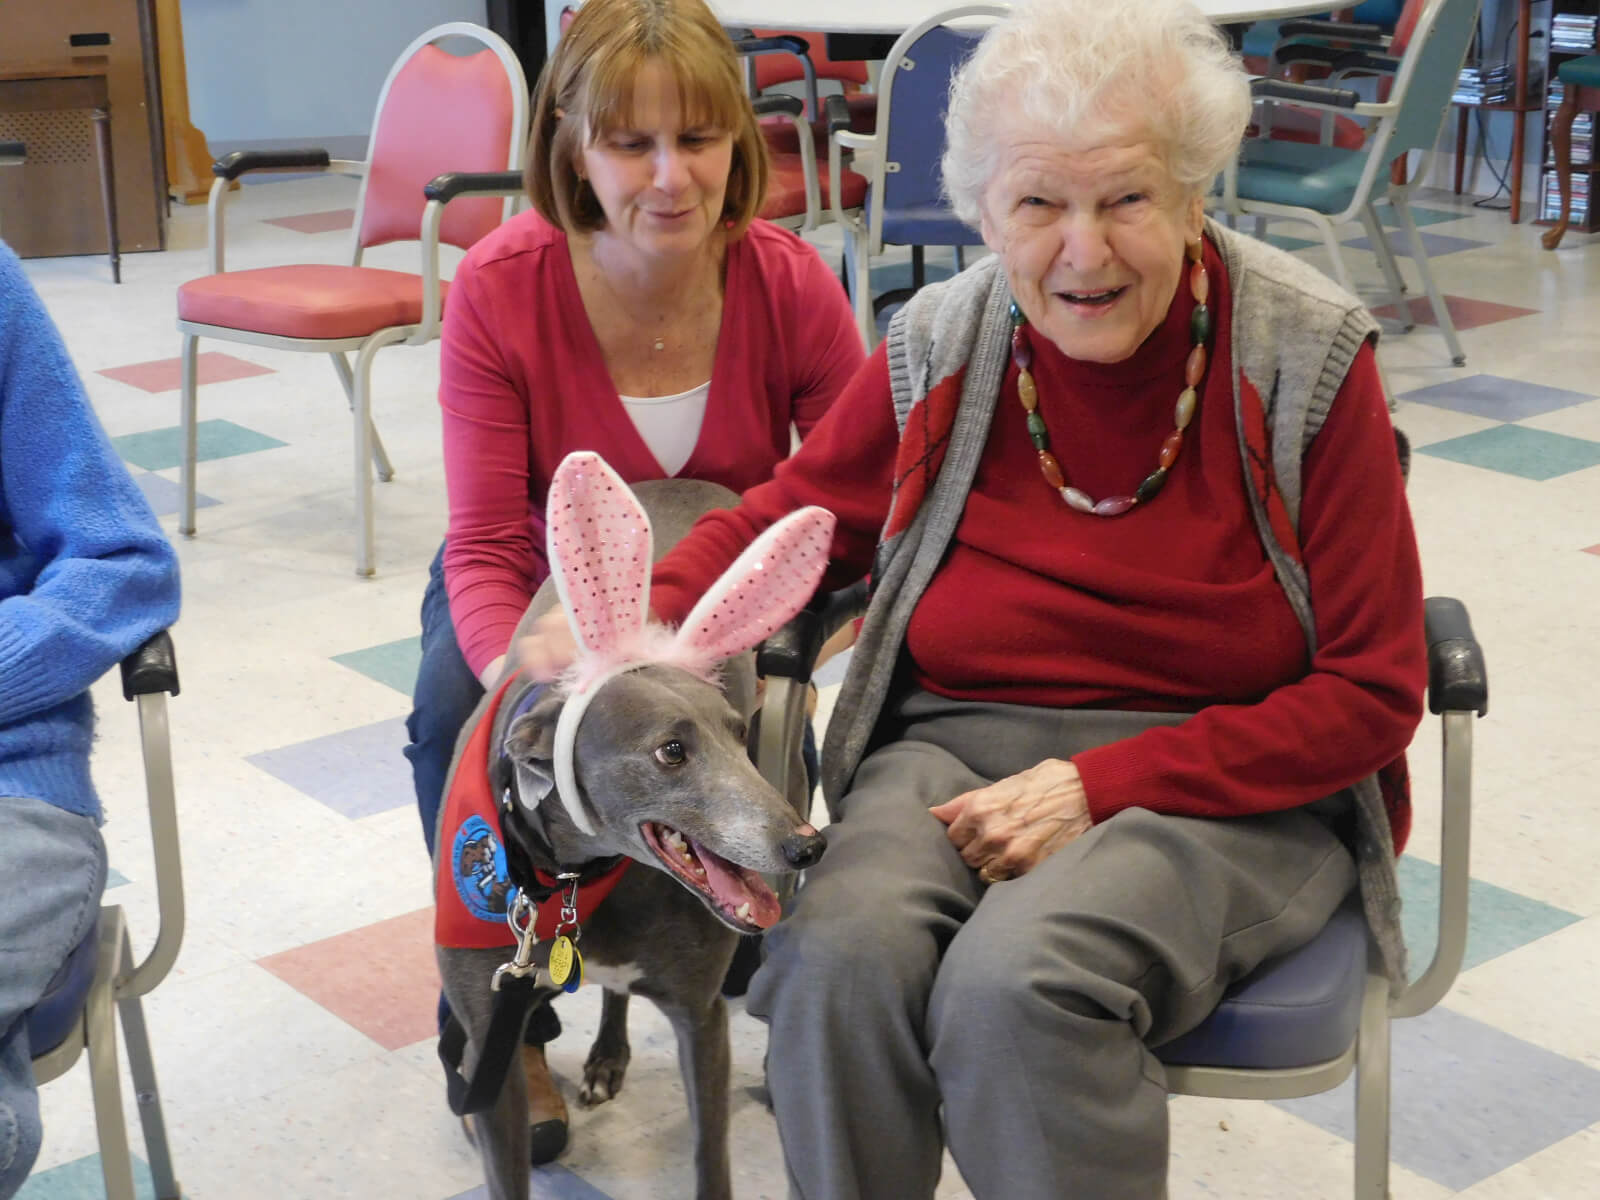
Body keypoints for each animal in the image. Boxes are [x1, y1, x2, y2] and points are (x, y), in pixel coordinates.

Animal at [438, 454, 838, 1200]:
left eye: (737, 734)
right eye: (671, 751)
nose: (807, 846)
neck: (576, 876)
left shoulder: (701, 1016)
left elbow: (712, 1158)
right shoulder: (490, 1049)